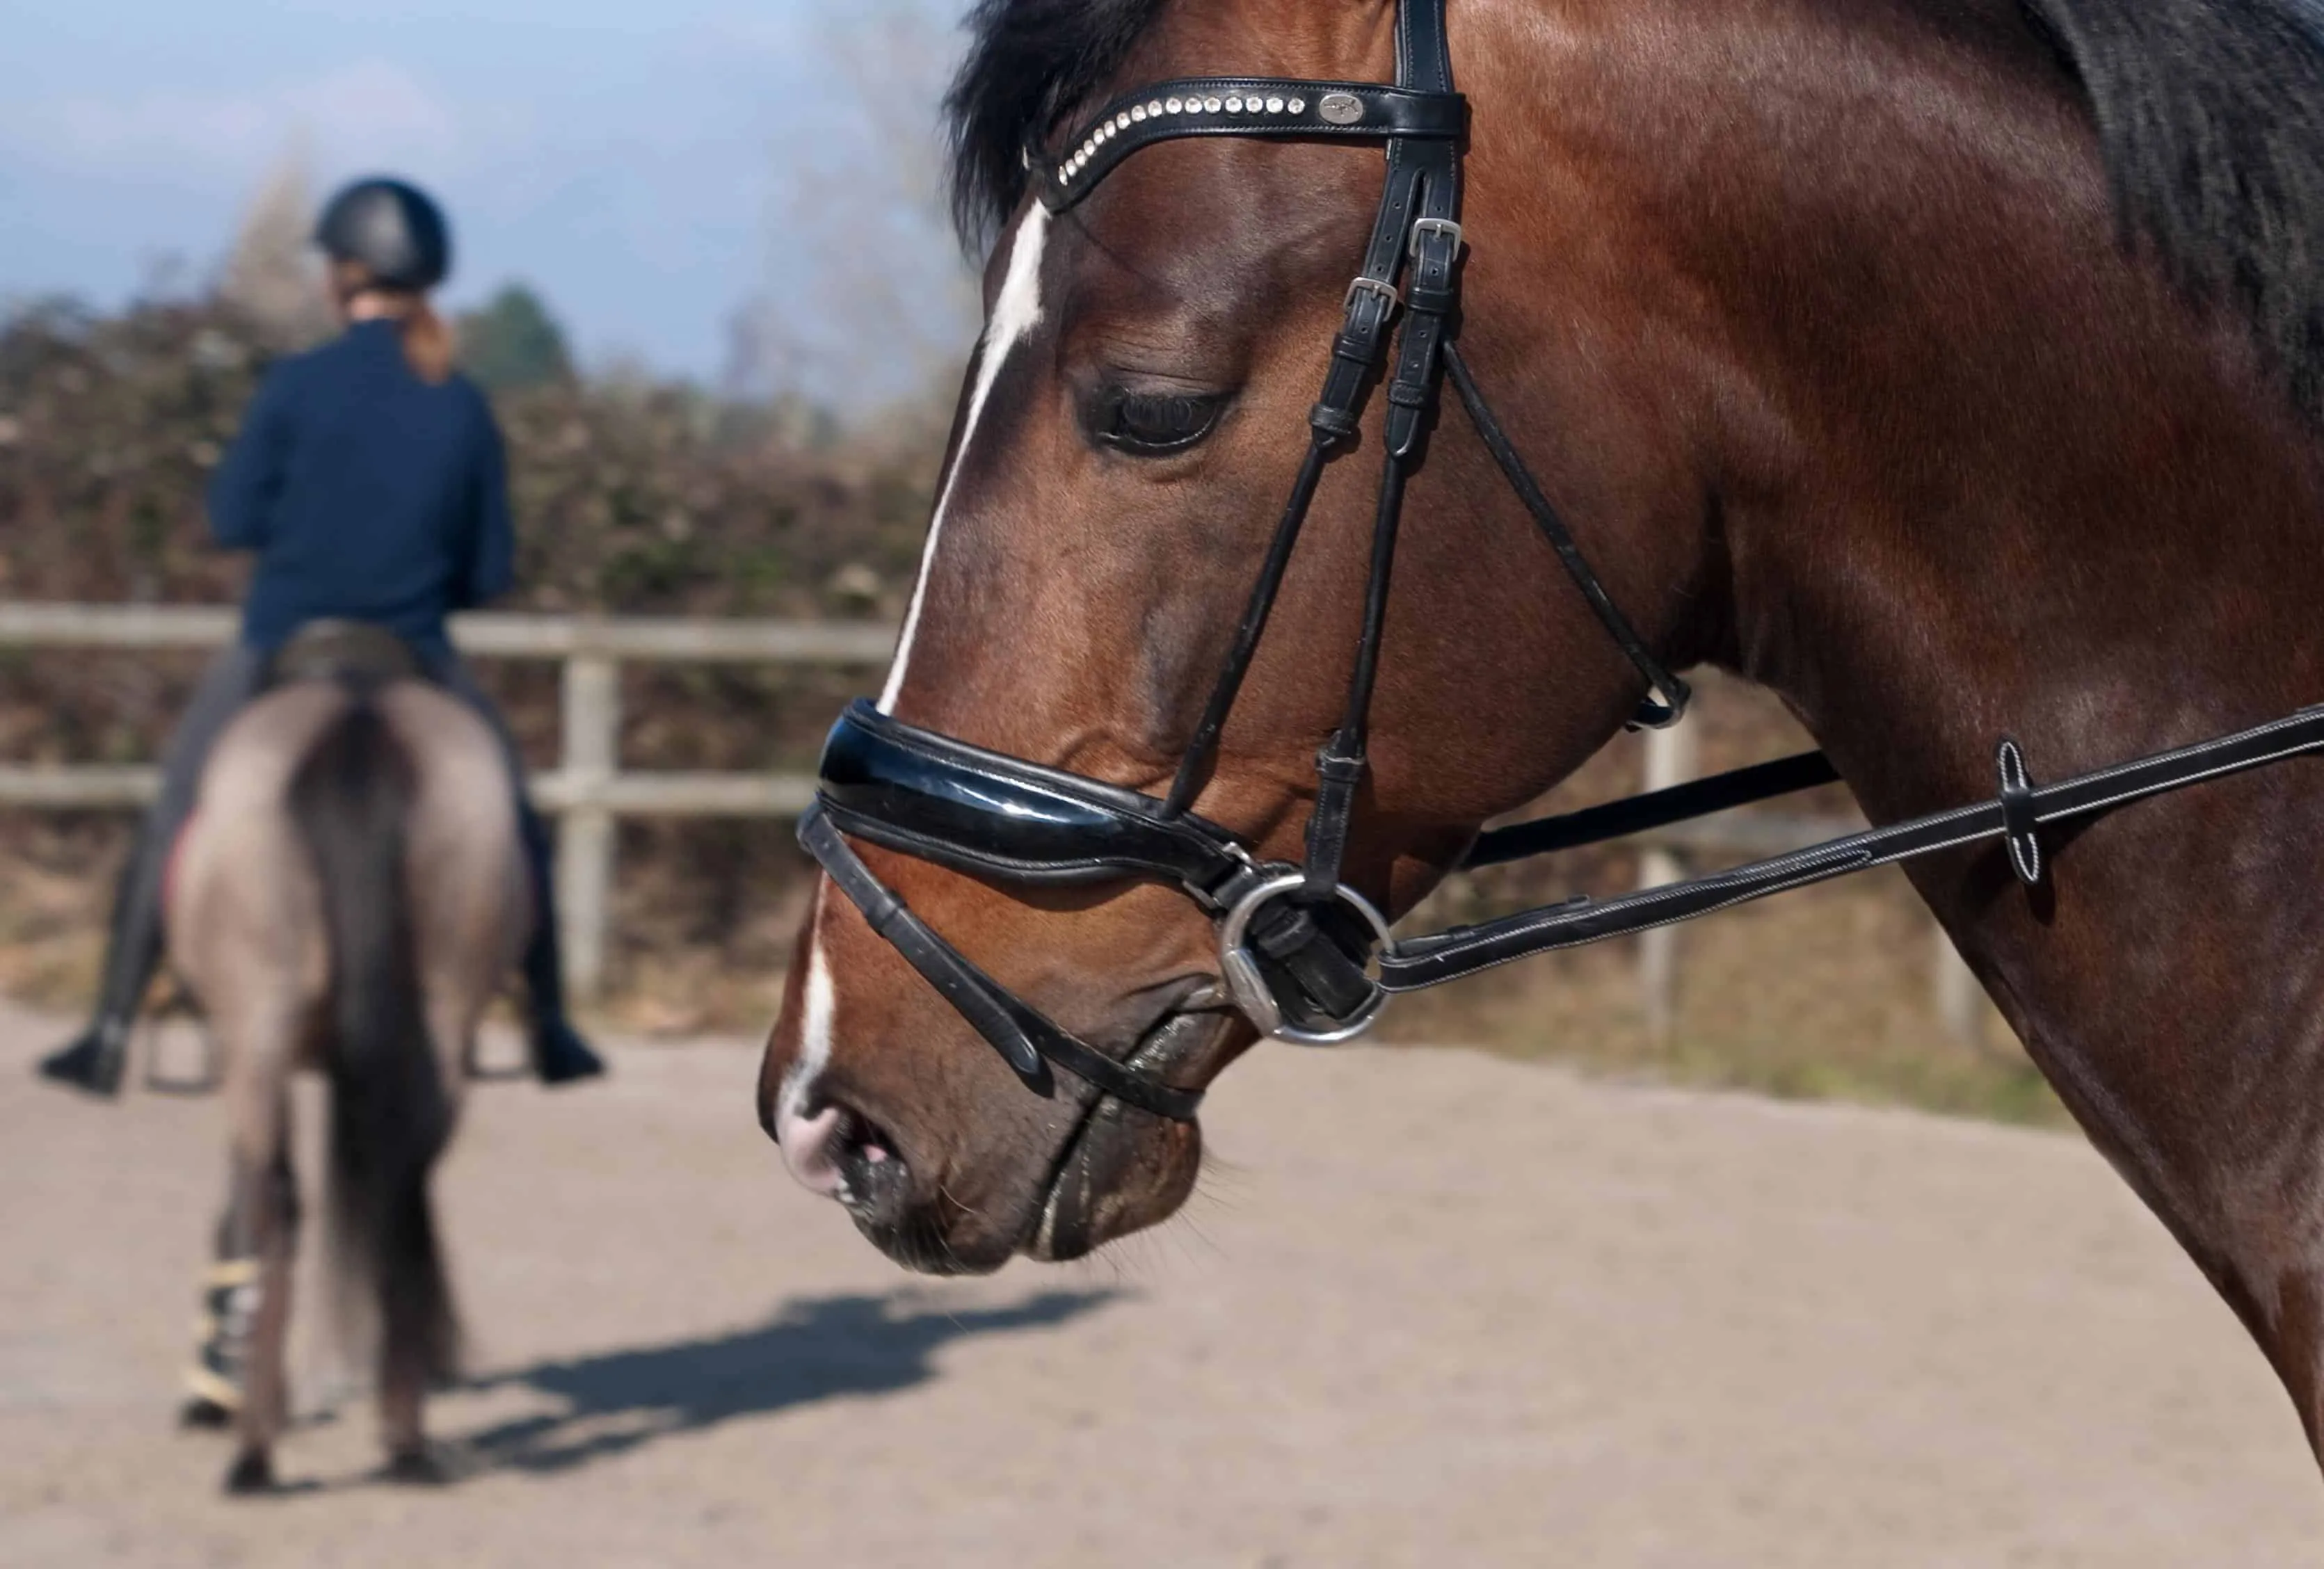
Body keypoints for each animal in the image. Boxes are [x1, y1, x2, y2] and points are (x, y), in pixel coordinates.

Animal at [169, 618, 527, 1488]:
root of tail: (357, 718)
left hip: (257, 1032)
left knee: (274, 1202)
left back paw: (254, 1449)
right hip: (441, 1019)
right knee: (402, 1179)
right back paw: (403, 1433)